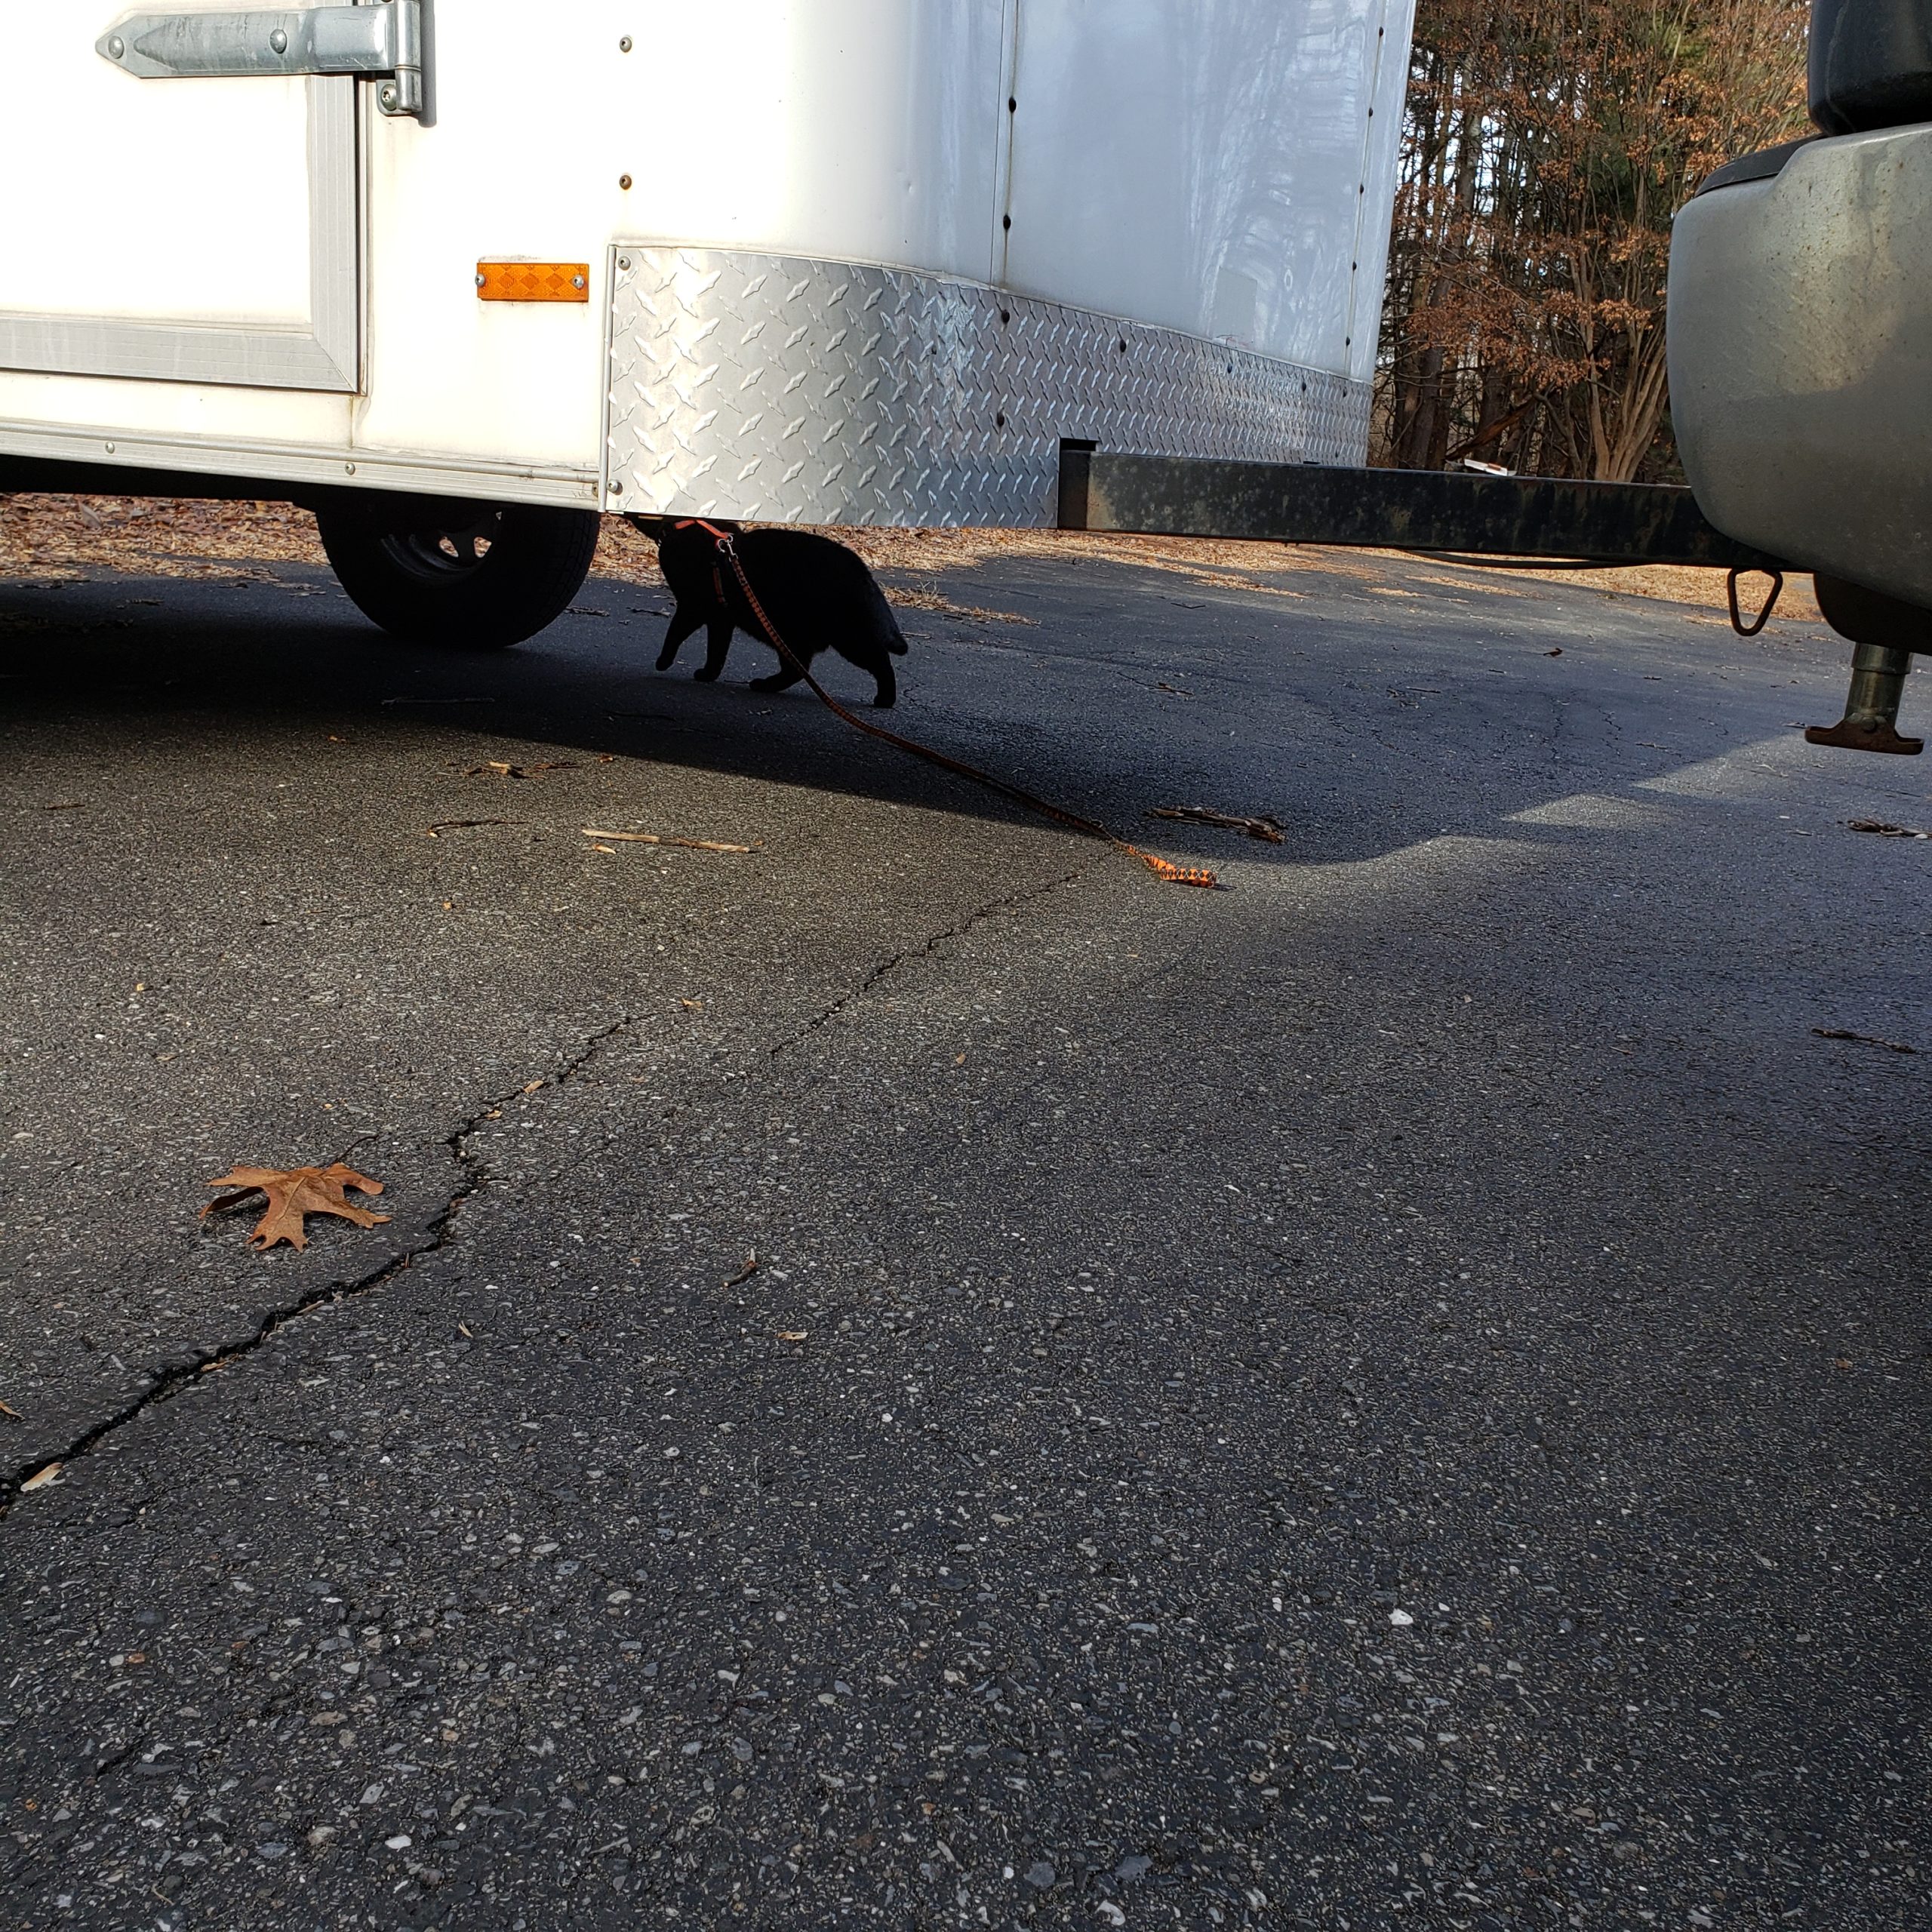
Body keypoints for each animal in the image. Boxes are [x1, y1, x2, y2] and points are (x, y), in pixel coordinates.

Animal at [647, 519, 909, 708]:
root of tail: (862, 572)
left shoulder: (693, 606)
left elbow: (675, 632)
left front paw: (663, 661)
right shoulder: (721, 618)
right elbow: (717, 650)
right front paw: (709, 673)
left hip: (844, 636)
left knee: (880, 661)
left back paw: (886, 699)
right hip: (790, 634)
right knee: (796, 669)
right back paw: (767, 685)